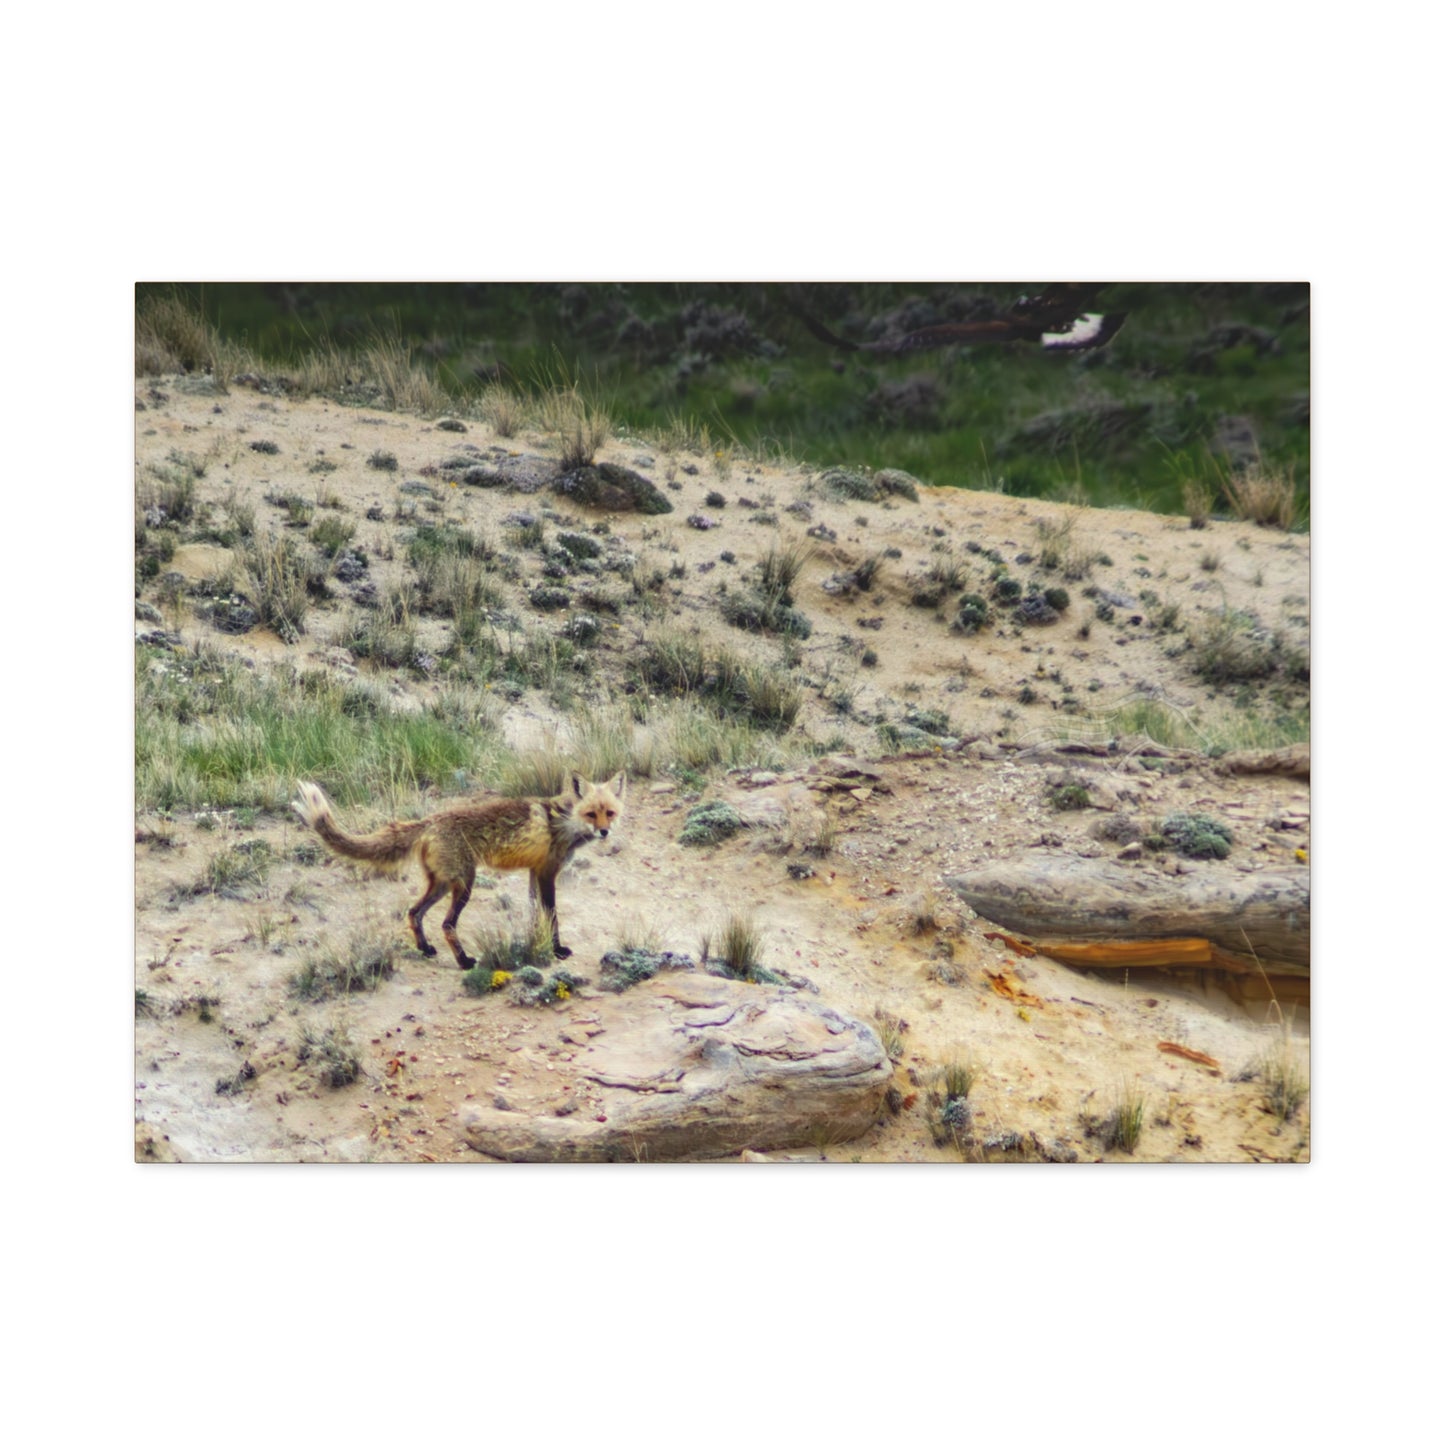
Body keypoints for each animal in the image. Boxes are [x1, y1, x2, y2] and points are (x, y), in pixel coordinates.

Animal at [291, 773, 625, 969]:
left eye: (609, 812)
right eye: (591, 813)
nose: (604, 832)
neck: (564, 821)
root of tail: (430, 820)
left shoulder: (534, 872)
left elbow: (535, 915)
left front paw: (536, 945)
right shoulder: (546, 873)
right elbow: (552, 915)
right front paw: (556, 950)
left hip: (441, 884)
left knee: (414, 912)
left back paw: (426, 949)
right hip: (465, 884)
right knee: (447, 924)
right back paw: (464, 961)